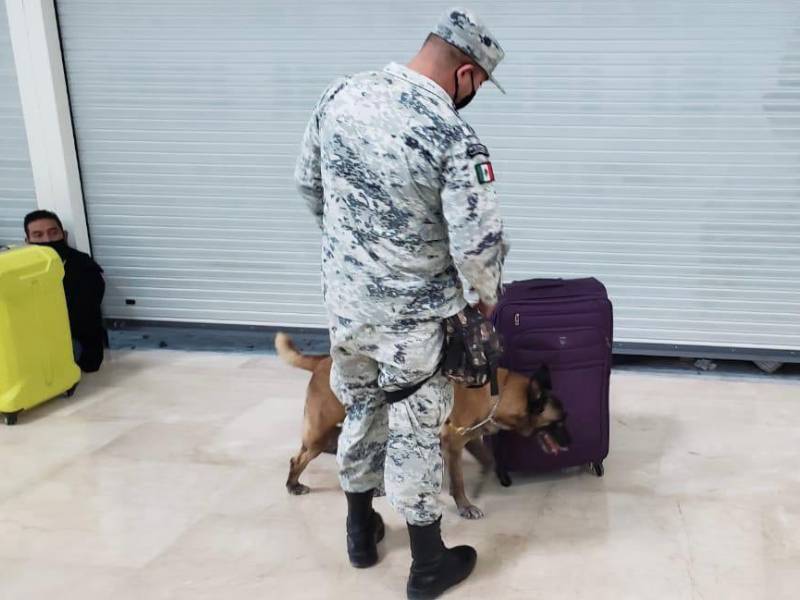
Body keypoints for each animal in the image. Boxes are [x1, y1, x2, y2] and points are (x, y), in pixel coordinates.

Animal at [278, 330, 564, 516]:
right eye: (561, 423)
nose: (570, 442)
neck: (497, 393)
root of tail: (321, 361)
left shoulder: (468, 439)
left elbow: (488, 459)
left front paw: (483, 482)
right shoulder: (452, 443)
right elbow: (458, 480)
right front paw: (465, 505)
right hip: (321, 433)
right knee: (298, 458)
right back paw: (292, 485)